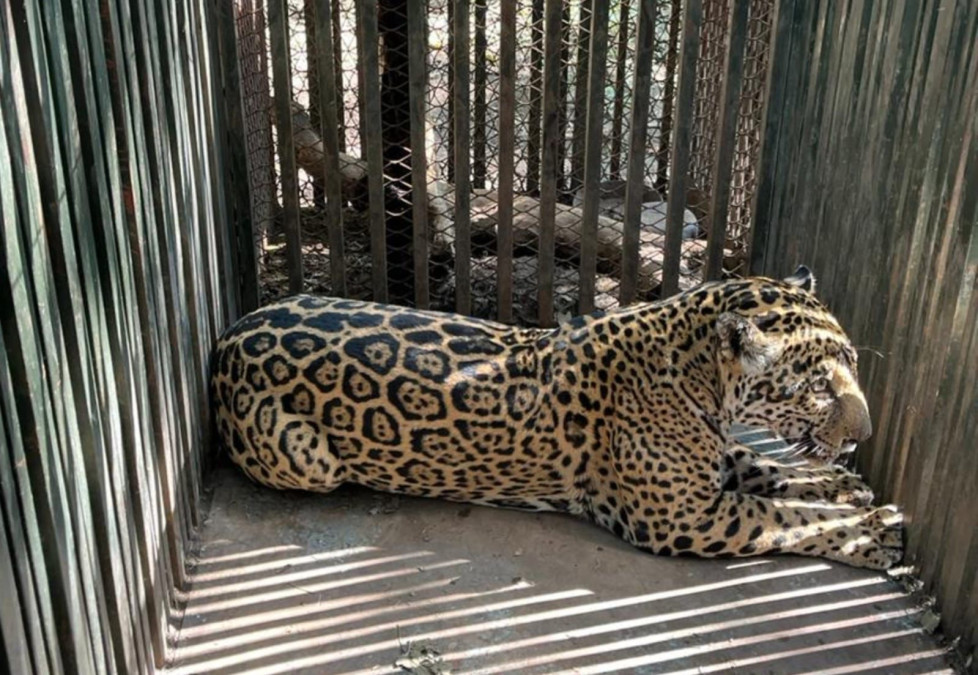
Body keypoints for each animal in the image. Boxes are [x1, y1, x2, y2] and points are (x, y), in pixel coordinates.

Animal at [211, 266, 903, 570]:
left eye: (851, 365)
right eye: (819, 385)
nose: (865, 435)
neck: (698, 380)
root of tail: (228, 333)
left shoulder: (710, 464)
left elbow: (767, 468)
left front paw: (845, 486)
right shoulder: (684, 519)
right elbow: (784, 519)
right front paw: (872, 534)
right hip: (309, 461)